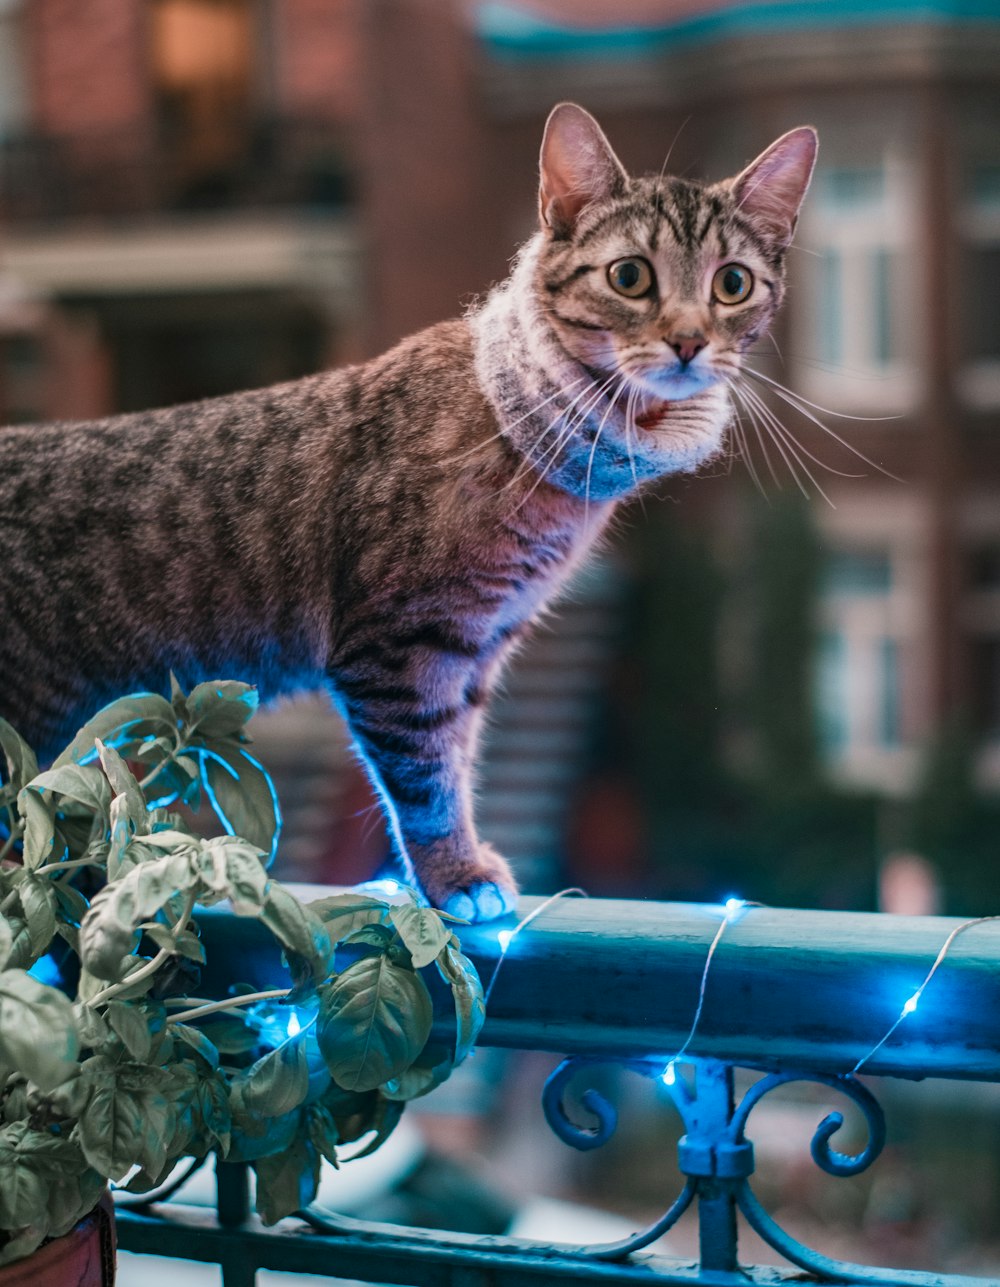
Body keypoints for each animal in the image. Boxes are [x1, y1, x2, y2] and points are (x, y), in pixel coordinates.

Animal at [0, 105, 813, 921]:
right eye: (630, 275)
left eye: (733, 283)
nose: (689, 340)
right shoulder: (399, 646)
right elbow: (425, 778)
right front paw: (457, 874)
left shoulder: (478, 647)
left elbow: (458, 756)